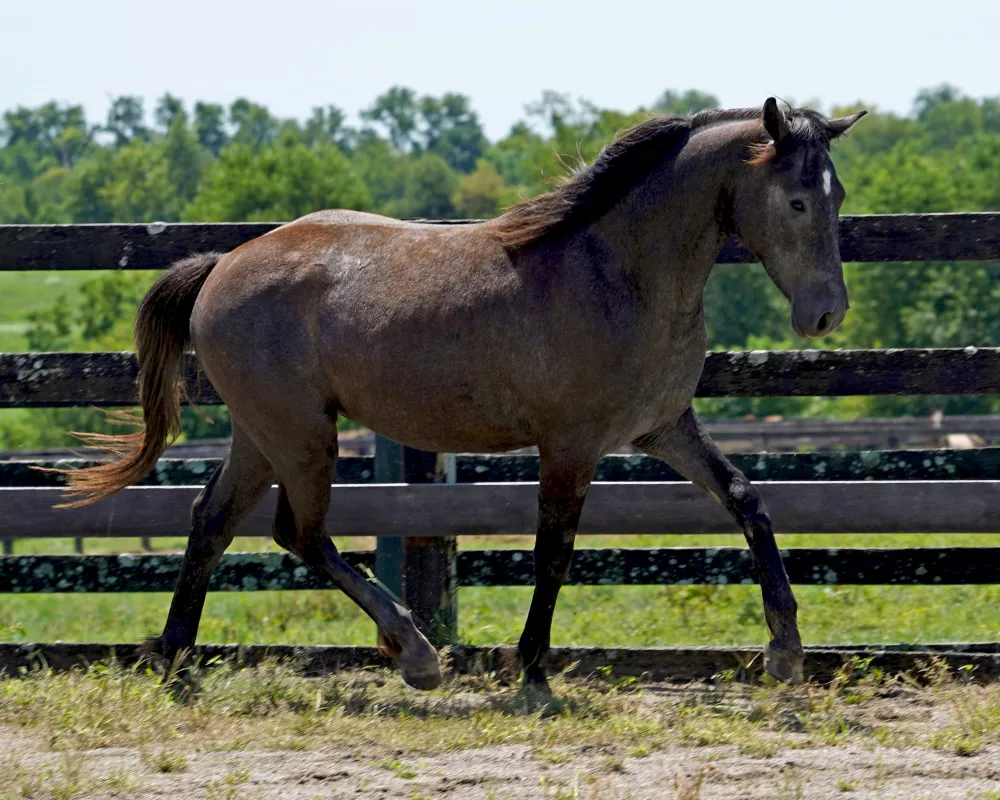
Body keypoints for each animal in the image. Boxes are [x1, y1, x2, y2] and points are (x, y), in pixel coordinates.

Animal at [60, 98, 860, 692]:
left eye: (839, 195)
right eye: (796, 201)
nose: (825, 314)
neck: (615, 272)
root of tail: (222, 265)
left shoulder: (663, 428)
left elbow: (748, 501)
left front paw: (785, 651)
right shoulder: (570, 444)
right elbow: (554, 551)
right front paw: (530, 669)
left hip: (260, 435)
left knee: (212, 521)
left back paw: (175, 660)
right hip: (301, 434)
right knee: (301, 533)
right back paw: (415, 654)